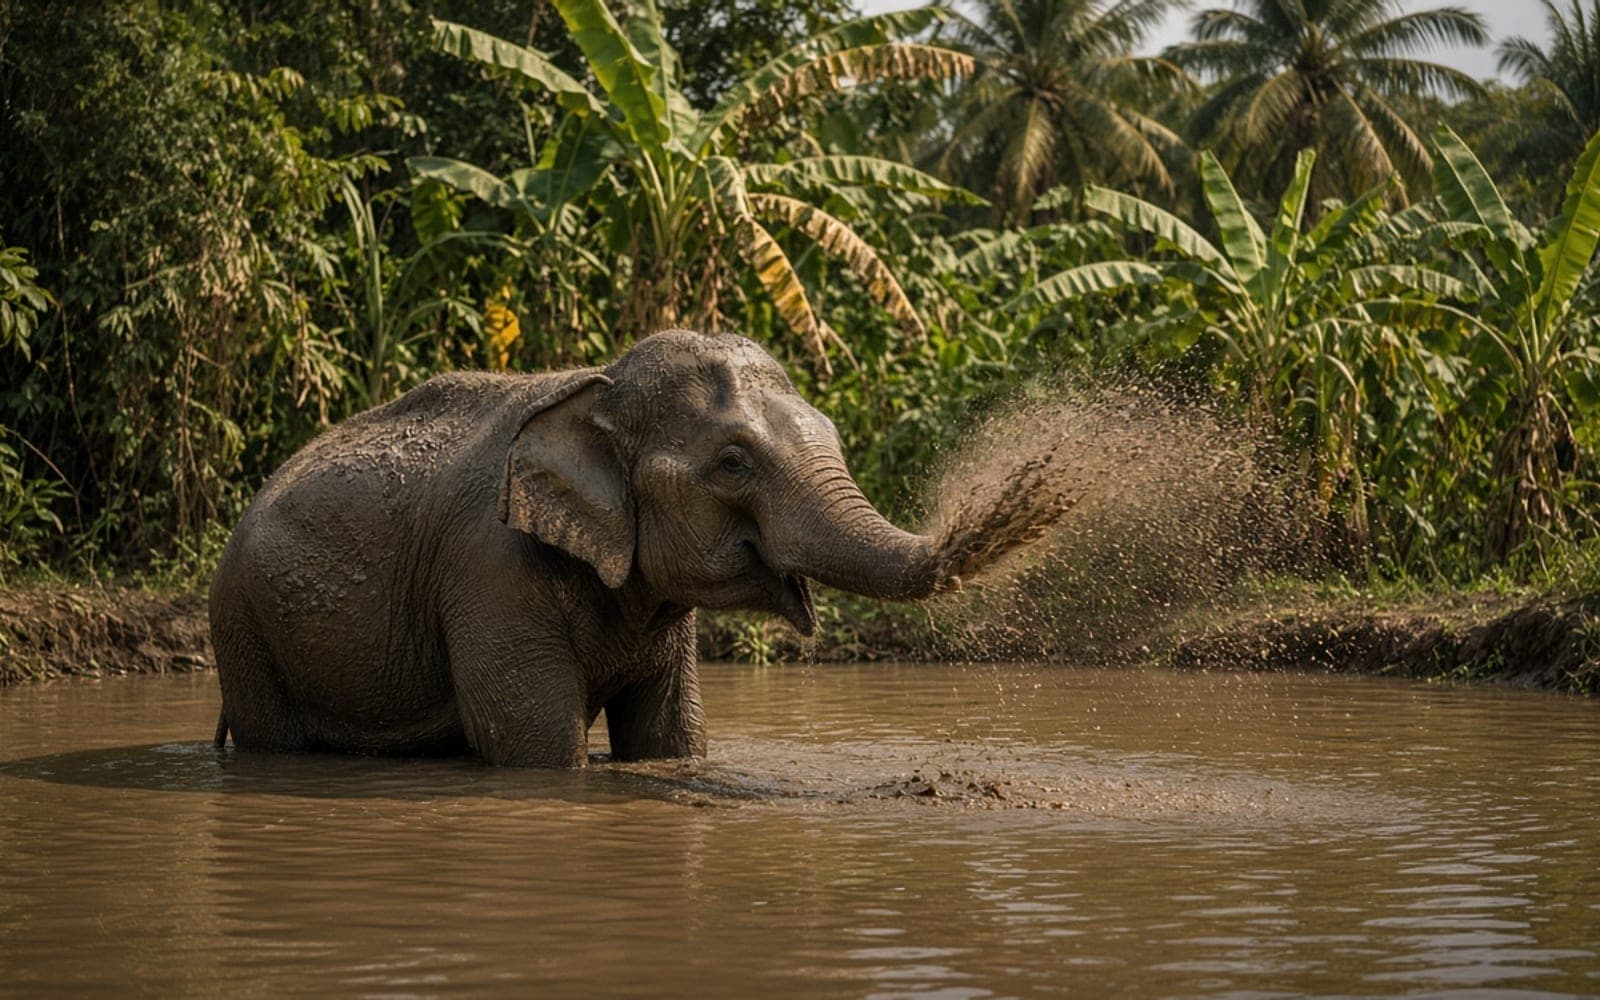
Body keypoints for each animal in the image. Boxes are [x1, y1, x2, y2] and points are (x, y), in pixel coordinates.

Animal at [208, 330, 961, 767]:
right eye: (732, 463)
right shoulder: (490, 570)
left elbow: (671, 736)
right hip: (242, 626)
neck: (599, 385)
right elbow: (535, 741)